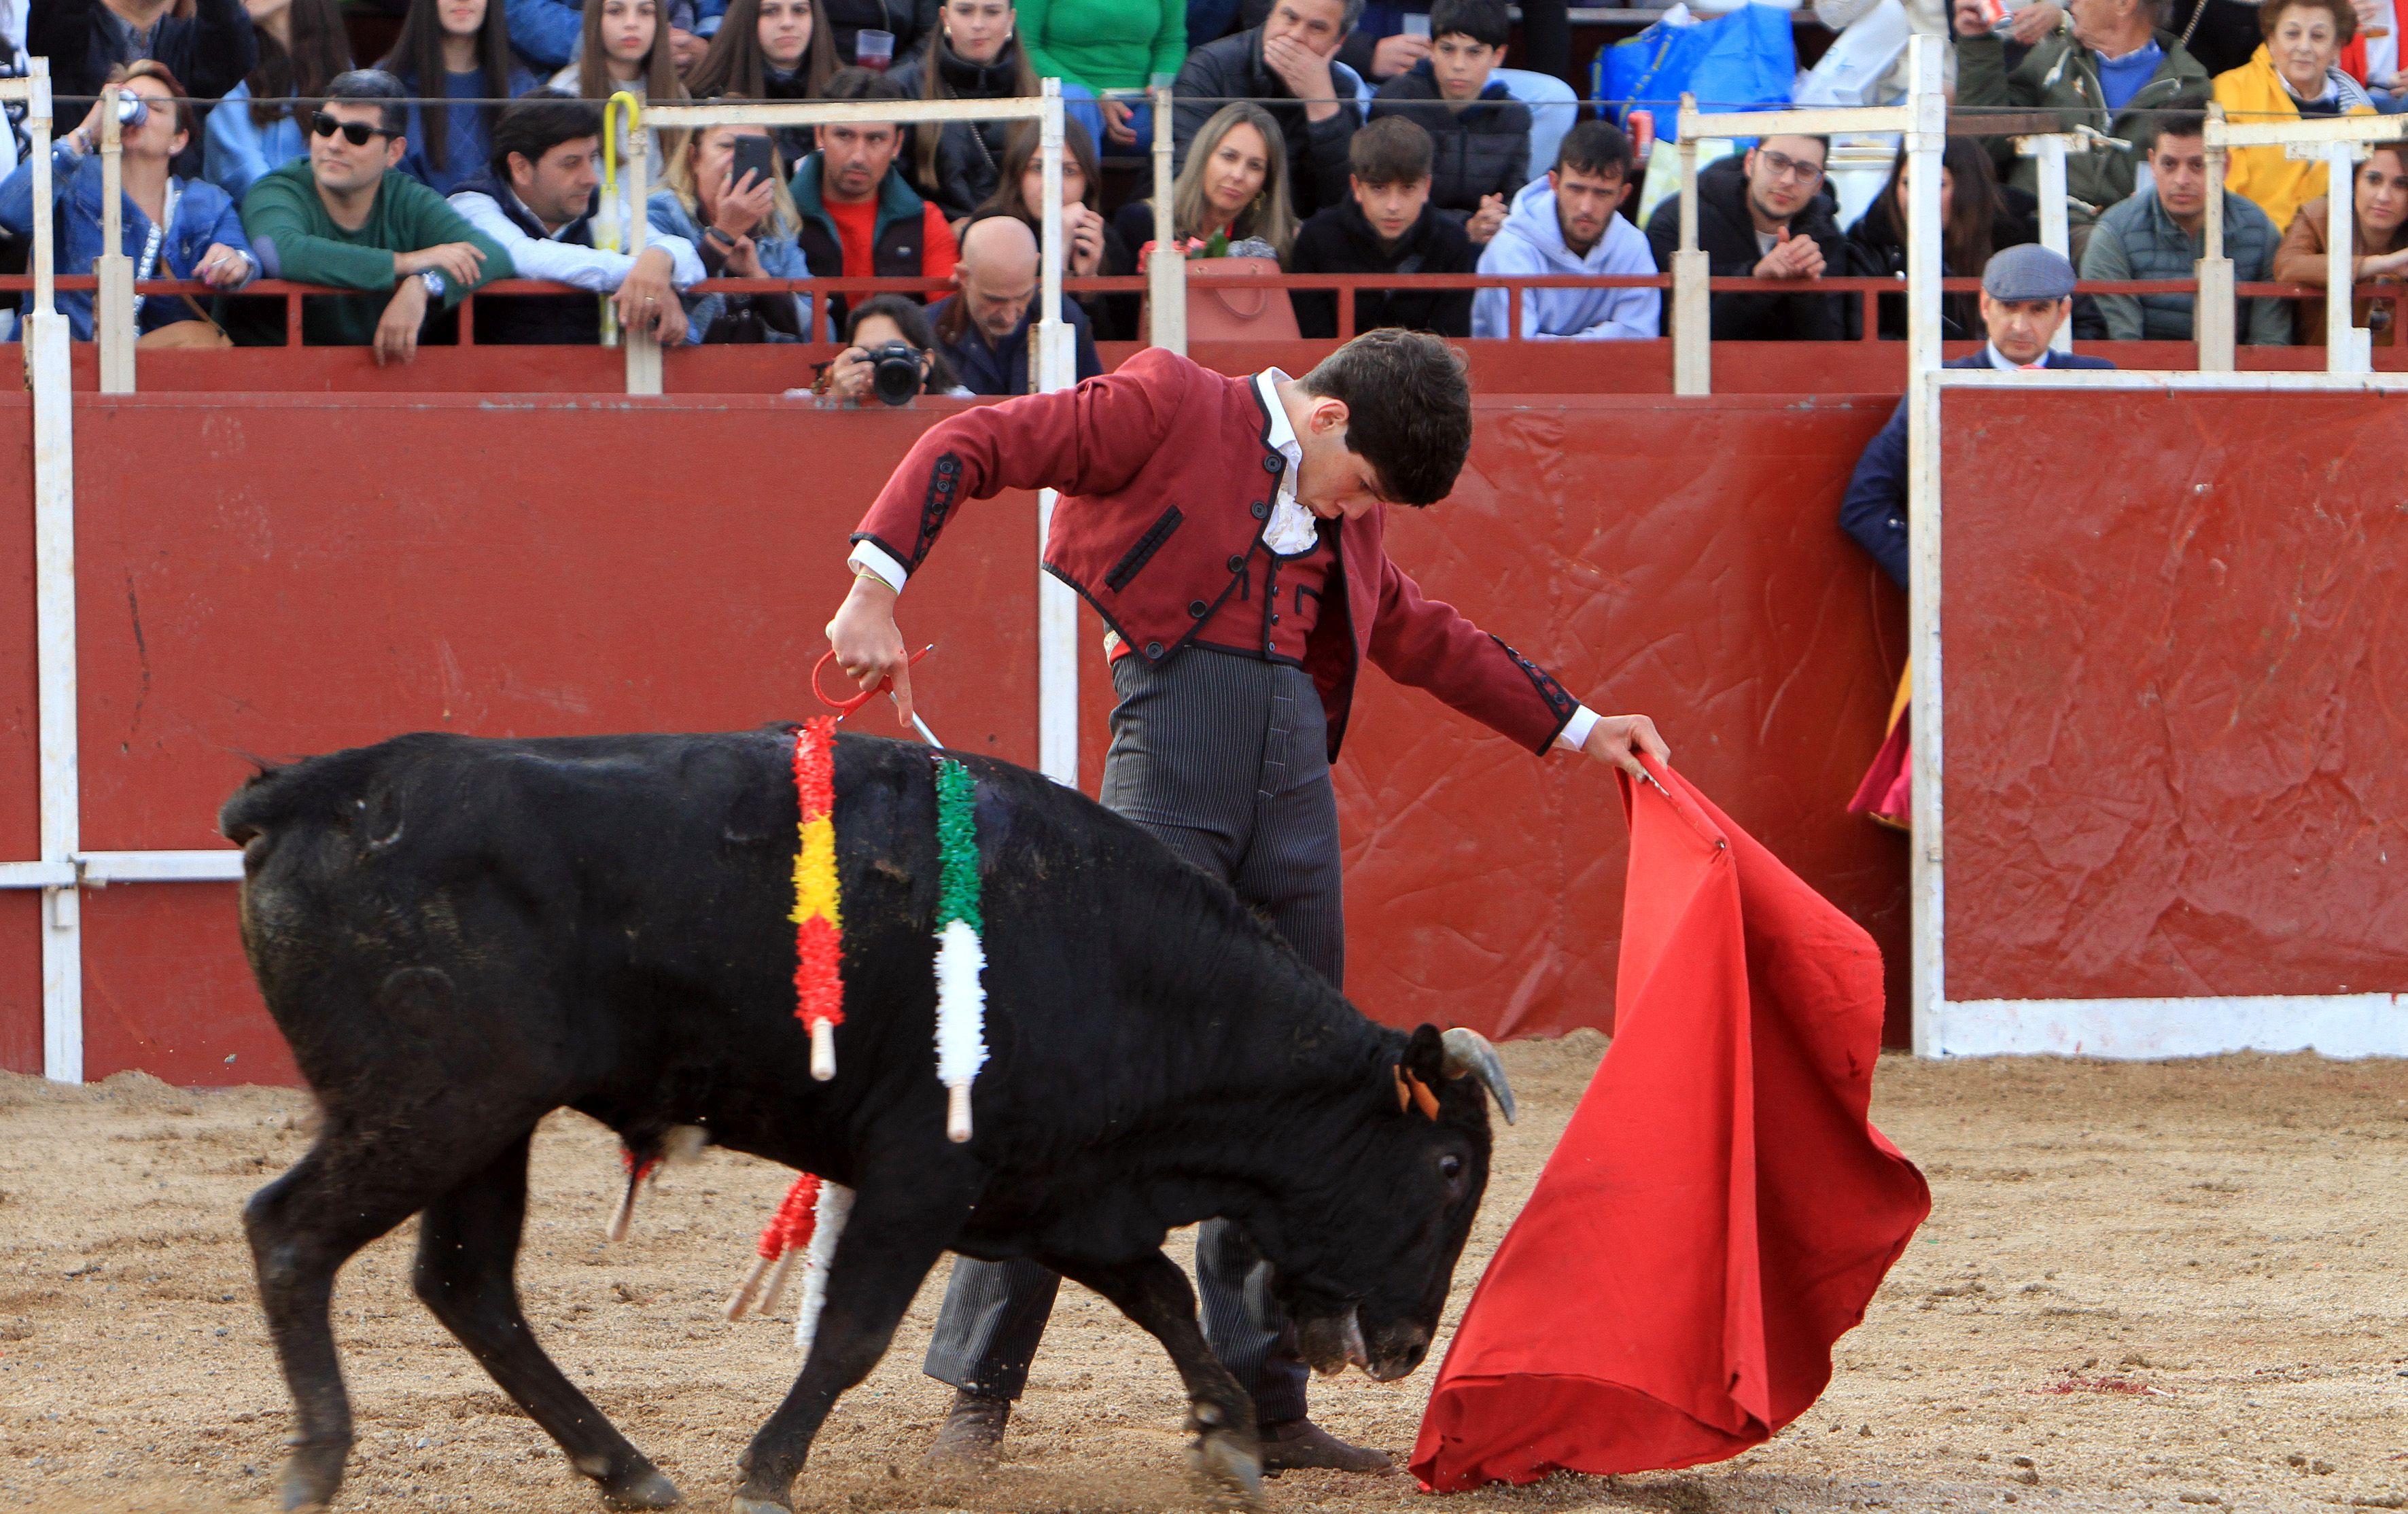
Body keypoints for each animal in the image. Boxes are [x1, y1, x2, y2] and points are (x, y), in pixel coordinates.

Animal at [221, 726, 1502, 1502]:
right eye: (1448, 1168)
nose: (1404, 1347)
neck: (1125, 962)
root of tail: (308, 790)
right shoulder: (923, 1177)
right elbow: (854, 1332)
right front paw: (766, 1471)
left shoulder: (1056, 1192)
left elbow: (1160, 1293)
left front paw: (1226, 1434)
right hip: (436, 1107)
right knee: (292, 1233)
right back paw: (318, 1461)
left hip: (490, 1128)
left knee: (468, 1284)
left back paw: (627, 1469)